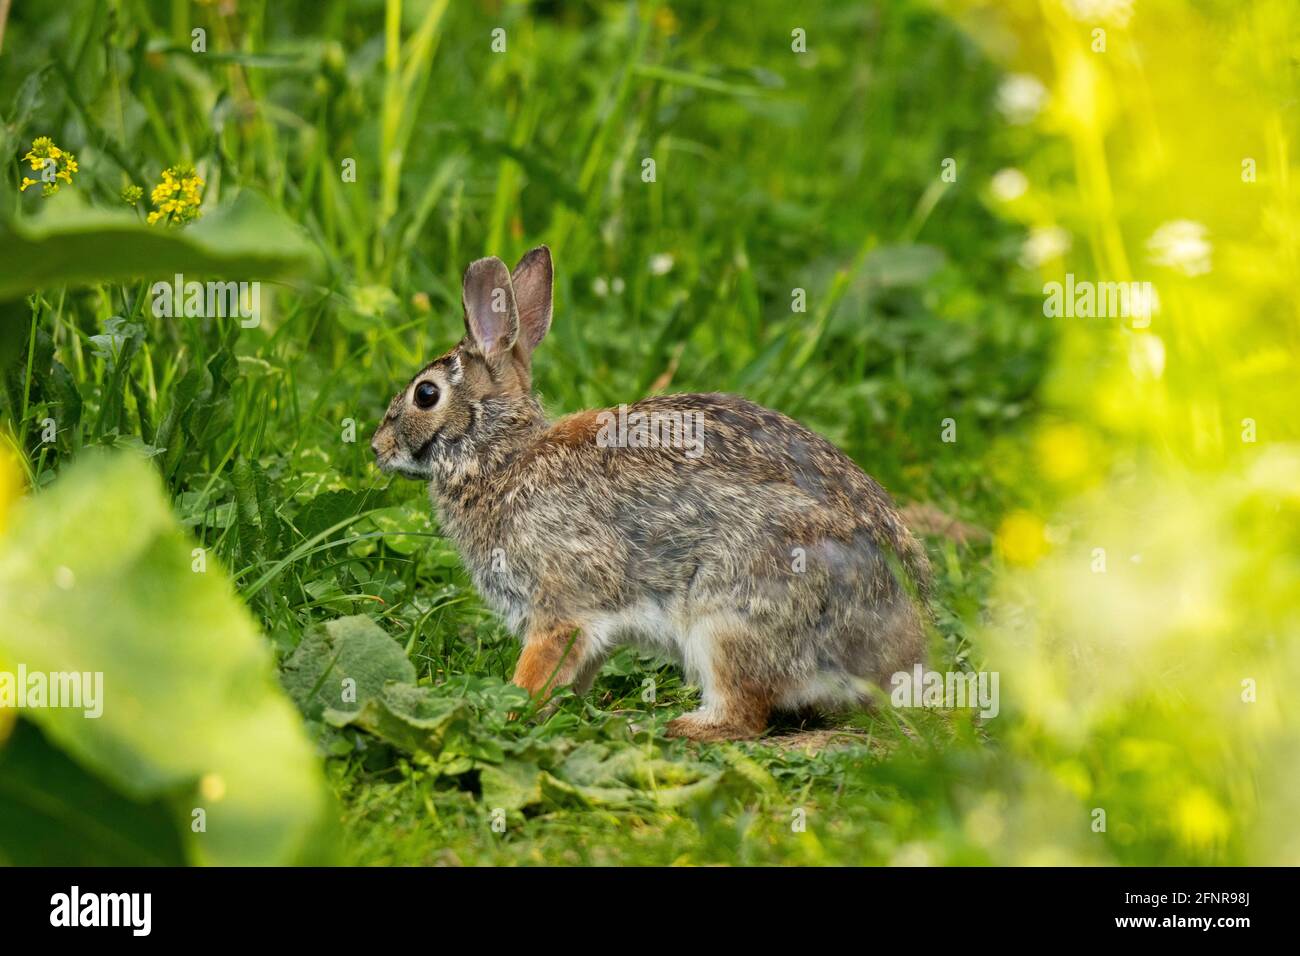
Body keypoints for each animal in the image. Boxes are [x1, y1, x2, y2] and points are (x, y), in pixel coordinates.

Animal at [371, 246, 931, 741]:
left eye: (426, 394)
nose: (377, 447)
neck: (501, 456)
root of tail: (899, 653)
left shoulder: (558, 606)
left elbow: (538, 670)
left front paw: (509, 712)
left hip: (728, 618)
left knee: (743, 715)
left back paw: (670, 726)